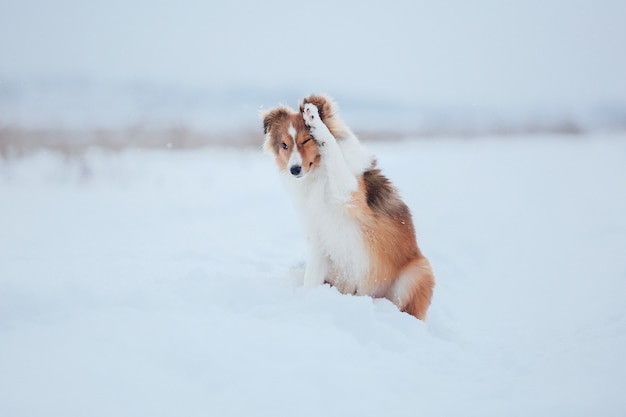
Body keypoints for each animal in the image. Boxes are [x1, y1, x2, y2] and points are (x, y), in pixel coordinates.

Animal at [260, 94, 432, 320]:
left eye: (306, 140)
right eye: (284, 145)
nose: (294, 169)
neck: (318, 174)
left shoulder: (349, 194)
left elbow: (332, 148)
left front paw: (314, 118)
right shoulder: (319, 238)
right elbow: (311, 279)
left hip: (417, 272)